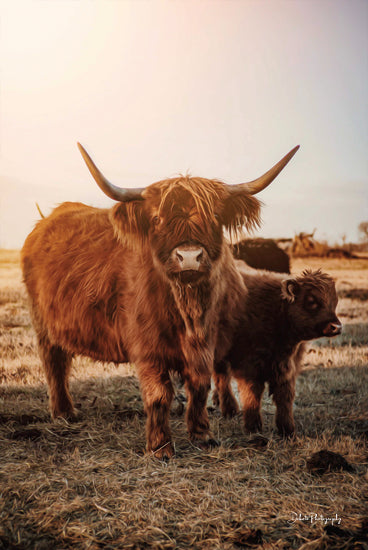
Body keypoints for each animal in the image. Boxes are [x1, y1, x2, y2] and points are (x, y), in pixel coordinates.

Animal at [214, 270, 340, 438]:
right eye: (311, 301)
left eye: (335, 301)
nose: (336, 327)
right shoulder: (249, 367)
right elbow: (252, 395)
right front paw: (253, 427)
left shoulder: (288, 368)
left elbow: (285, 397)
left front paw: (287, 430)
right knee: (222, 379)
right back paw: (229, 409)